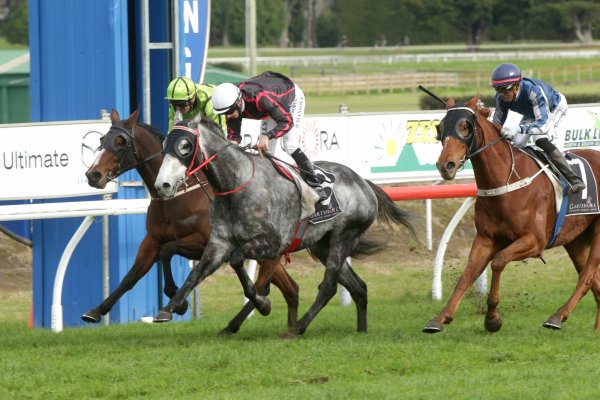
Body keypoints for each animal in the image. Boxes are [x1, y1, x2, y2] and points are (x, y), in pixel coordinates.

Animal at [84, 107, 300, 334]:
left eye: (120, 141)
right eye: (102, 139)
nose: (93, 175)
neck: (177, 195)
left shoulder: (202, 242)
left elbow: (167, 251)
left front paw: (177, 300)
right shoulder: (152, 240)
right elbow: (131, 276)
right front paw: (96, 311)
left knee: (264, 286)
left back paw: (252, 313)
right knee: (289, 287)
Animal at [152, 115, 420, 338]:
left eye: (185, 146)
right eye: (164, 145)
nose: (162, 185)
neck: (236, 185)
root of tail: (364, 183)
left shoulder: (271, 244)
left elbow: (240, 263)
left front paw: (263, 304)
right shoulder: (219, 242)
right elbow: (194, 271)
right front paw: (171, 306)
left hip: (343, 237)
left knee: (329, 286)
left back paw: (297, 328)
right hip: (323, 245)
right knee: (358, 287)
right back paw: (360, 331)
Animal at [422, 95, 600, 332]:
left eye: (465, 127)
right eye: (440, 127)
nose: (446, 165)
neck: (505, 182)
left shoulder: (535, 240)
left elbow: (498, 261)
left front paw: (492, 318)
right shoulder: (485, 239)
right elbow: (467, 275)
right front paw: (440, 318)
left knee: (587, 276)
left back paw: (556, 317)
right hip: (576, 239)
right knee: (594, 278)